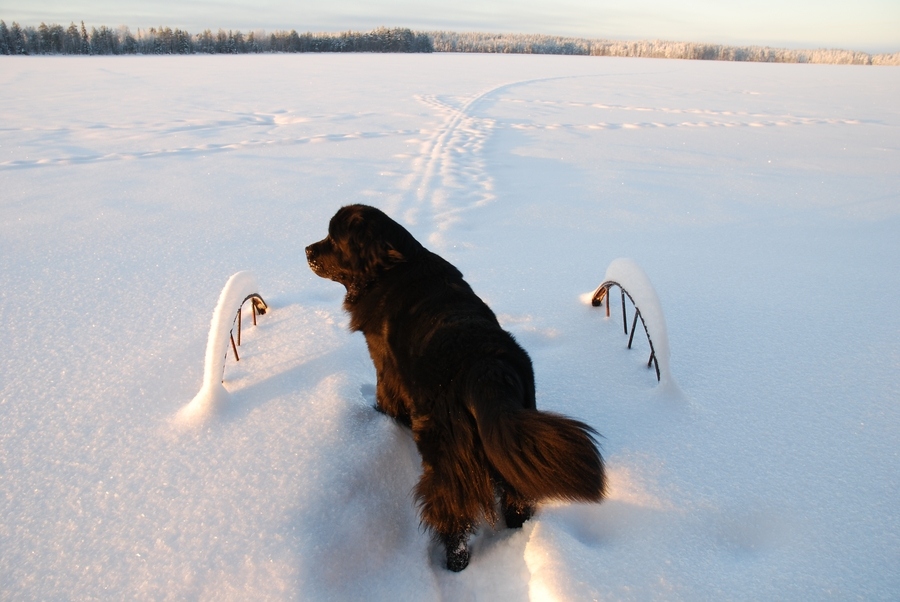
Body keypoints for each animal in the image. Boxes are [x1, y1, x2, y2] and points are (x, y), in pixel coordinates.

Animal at [306, 204, 608, 568]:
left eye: (332, 238)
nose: (307, 251)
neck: (391, 268)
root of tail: (485, 369)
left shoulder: (385, 366)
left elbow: (386, 396)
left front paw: (381, 418)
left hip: (447, 454)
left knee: (453, 509)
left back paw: (454, 560)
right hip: (511, 436)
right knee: (517, 495)